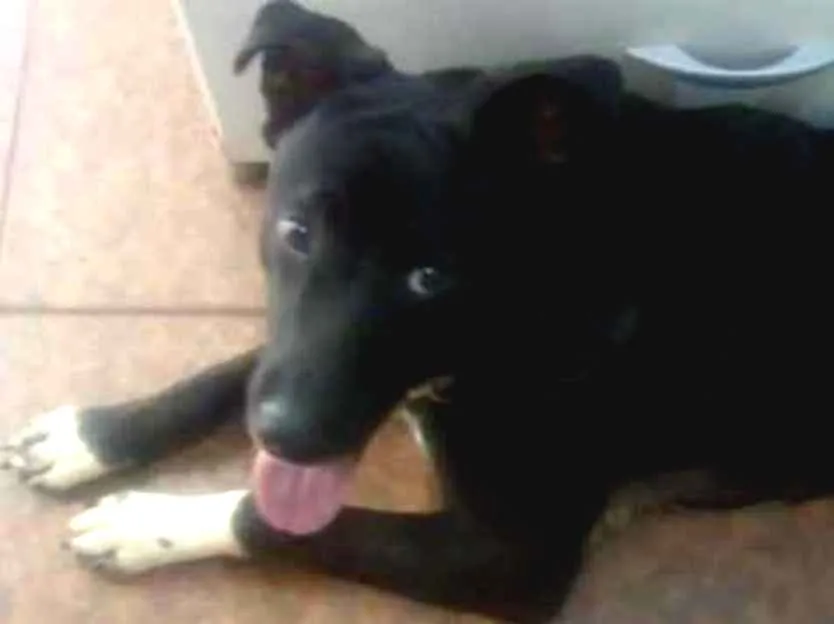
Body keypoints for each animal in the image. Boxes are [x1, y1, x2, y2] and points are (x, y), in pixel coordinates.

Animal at [3, 1, 834, 621]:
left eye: (431, 277)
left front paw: (152, 521)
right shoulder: (293, 352)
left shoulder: (508, 558)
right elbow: (230, 375)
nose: (288, 437)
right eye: (297, 233)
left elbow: (286, 521)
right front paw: (97, 435)